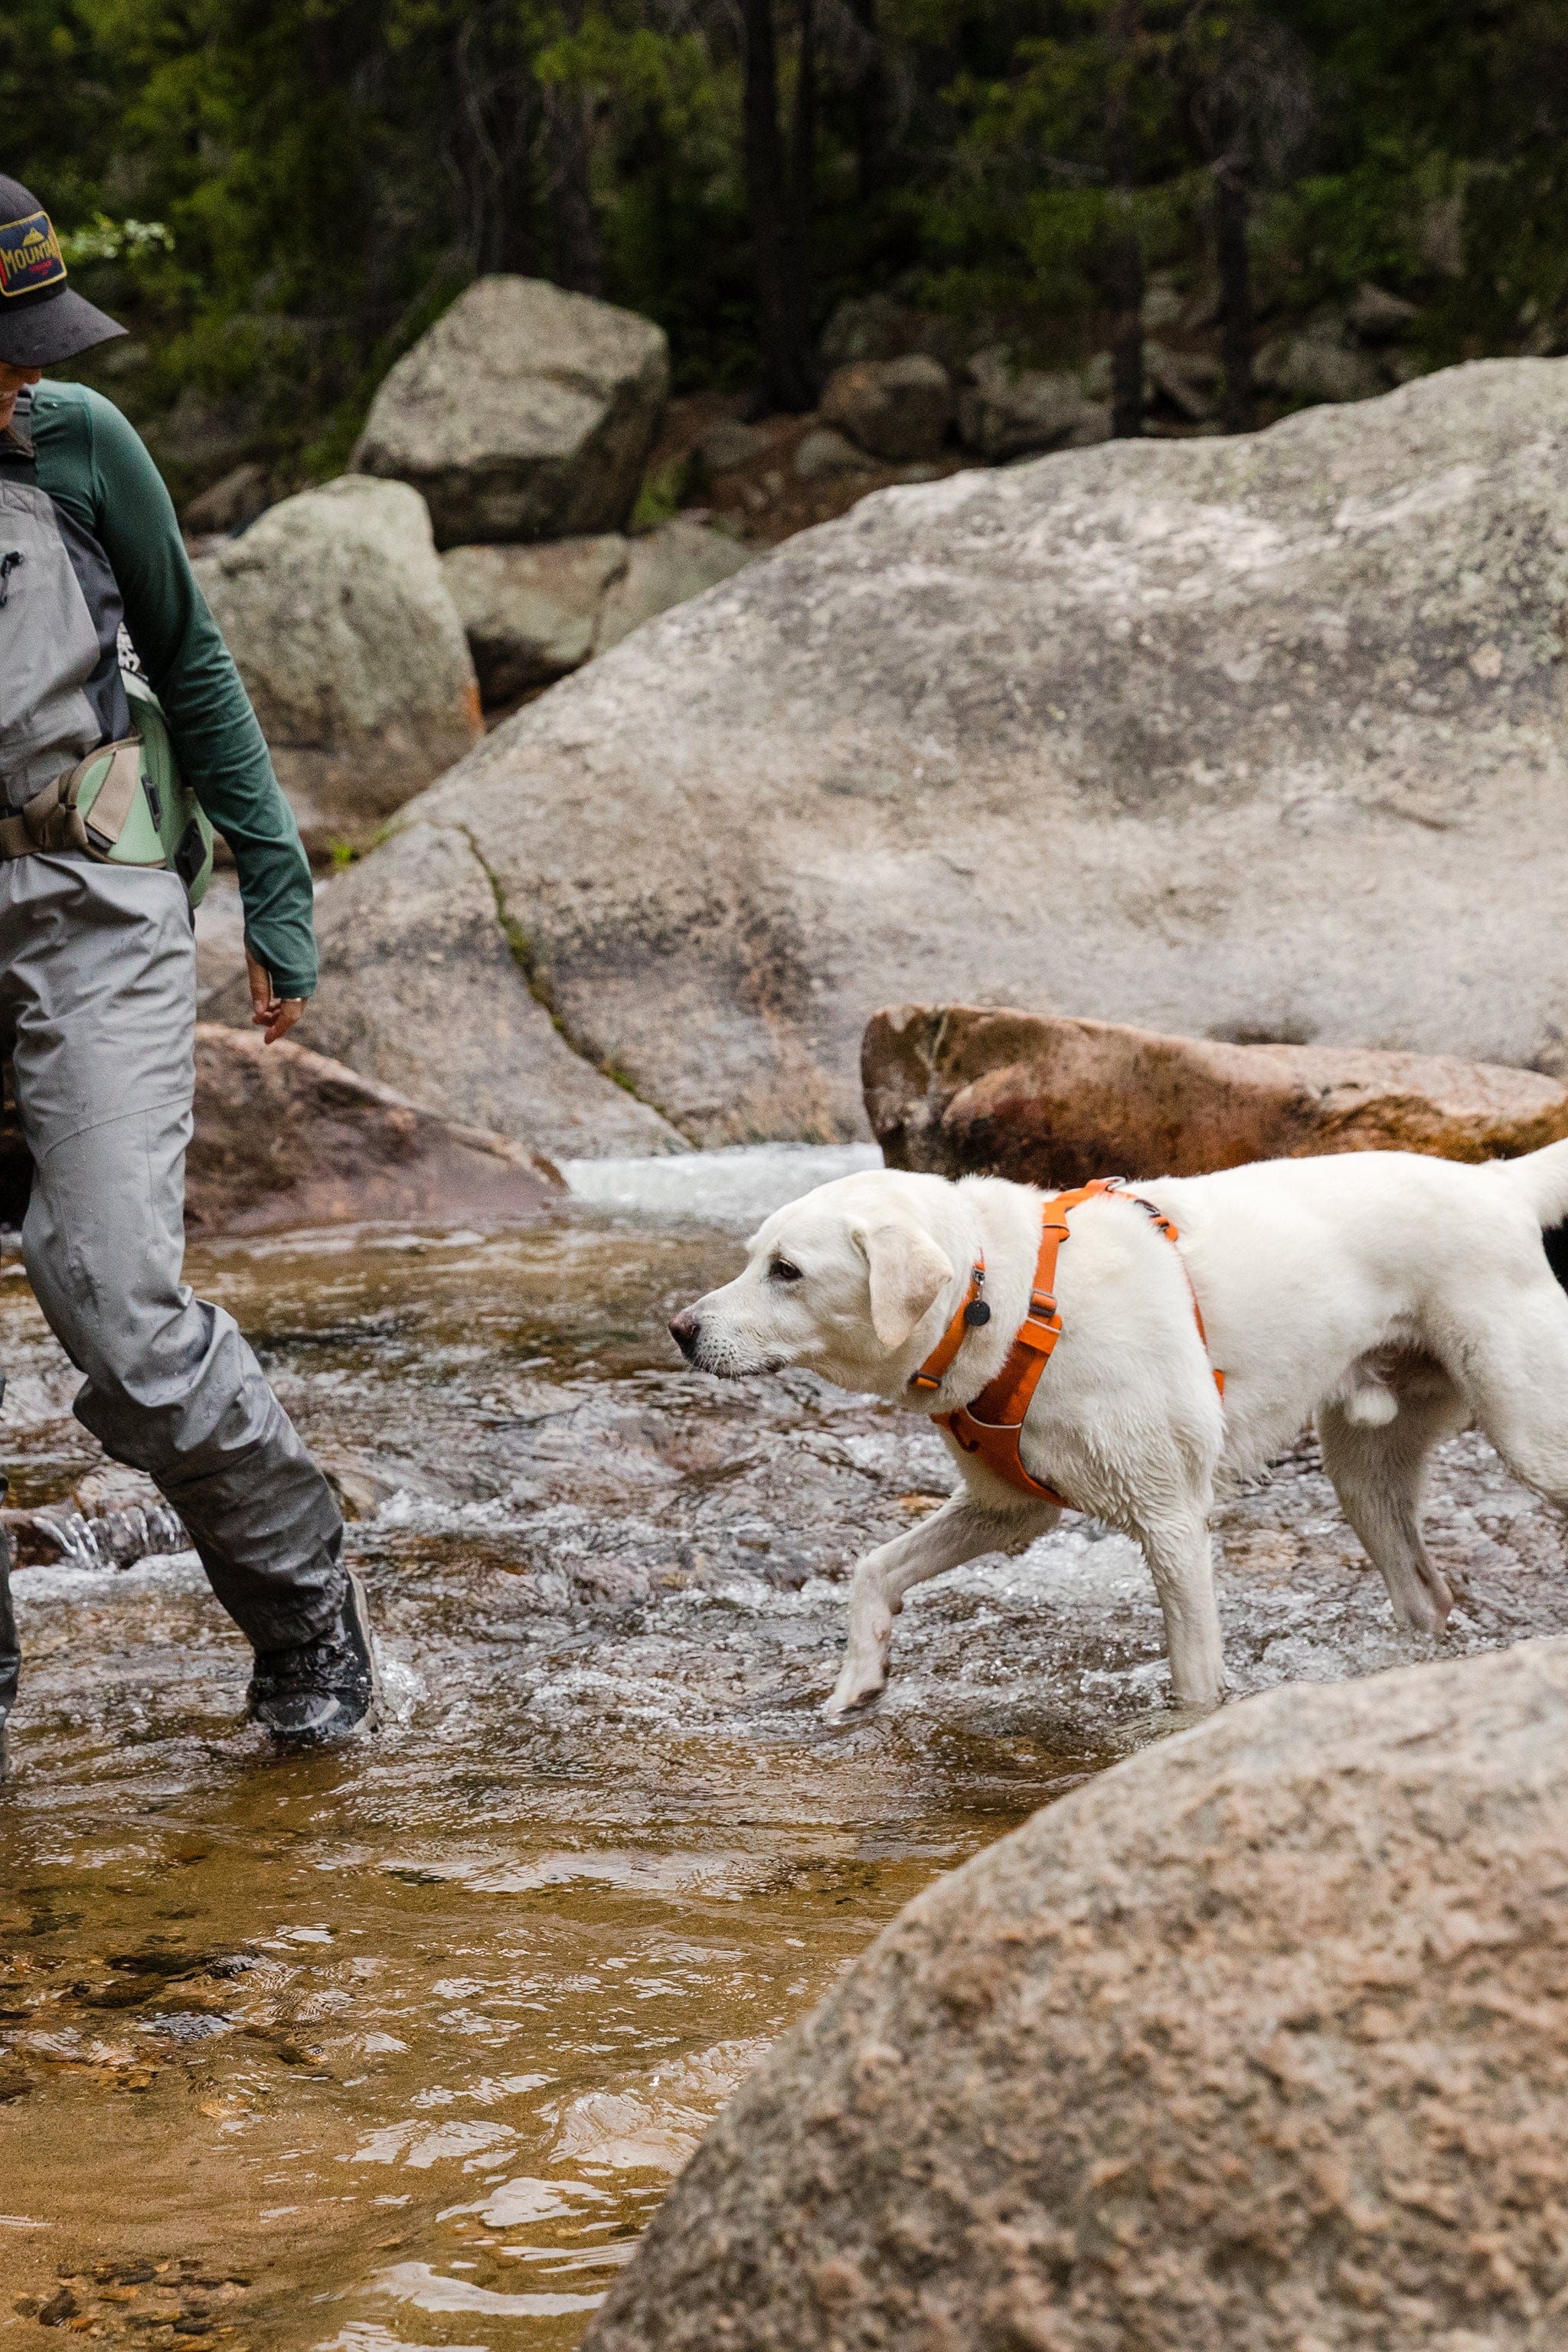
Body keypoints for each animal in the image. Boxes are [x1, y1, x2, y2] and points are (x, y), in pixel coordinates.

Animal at [668, 1148, 1568, 1721]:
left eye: (787, 1271)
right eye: (751, 1258)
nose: (679, 1329)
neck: (1004, 1298)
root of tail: (1494, 1182)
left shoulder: (1170, 1520)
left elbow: (1195, 1677)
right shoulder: (1007, 1506)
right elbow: (870, 1571)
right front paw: (858, 1681)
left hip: (1527, 1429)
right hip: (1363, 1469)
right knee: (1425, 1595)